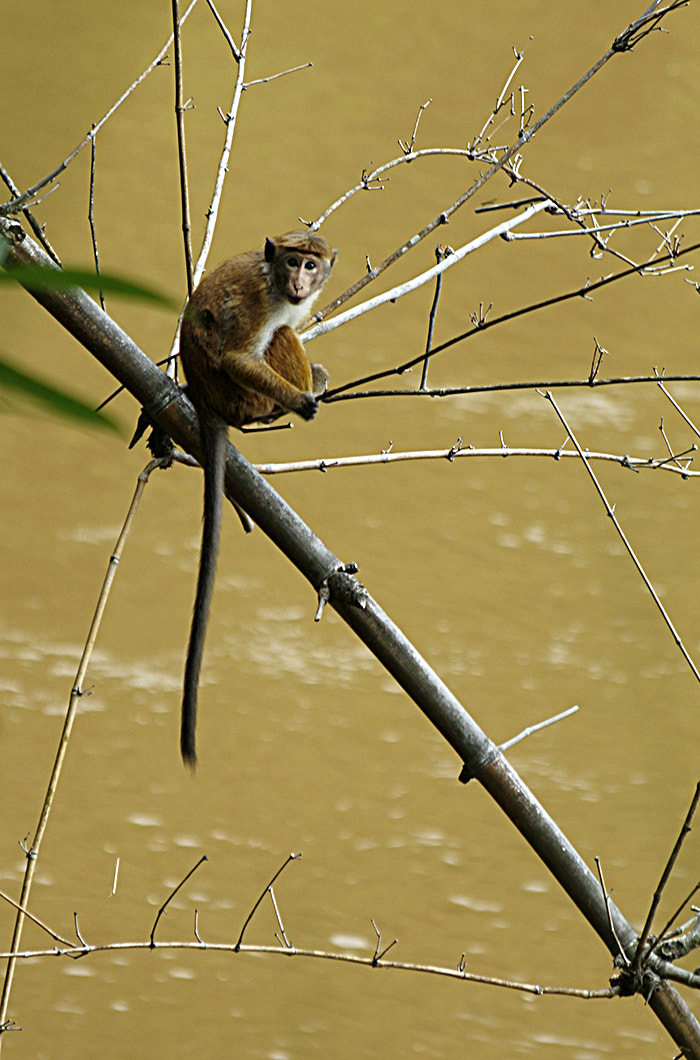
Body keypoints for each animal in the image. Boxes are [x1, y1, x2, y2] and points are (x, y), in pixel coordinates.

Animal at [178, 230, 335, 768]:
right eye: (292, 262)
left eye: (311, 264)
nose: (299, 281)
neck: (275, 286)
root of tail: (209, 402)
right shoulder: (258, 302)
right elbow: (238, 357)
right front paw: (301, 401)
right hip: (243, 399)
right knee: (279, 339)